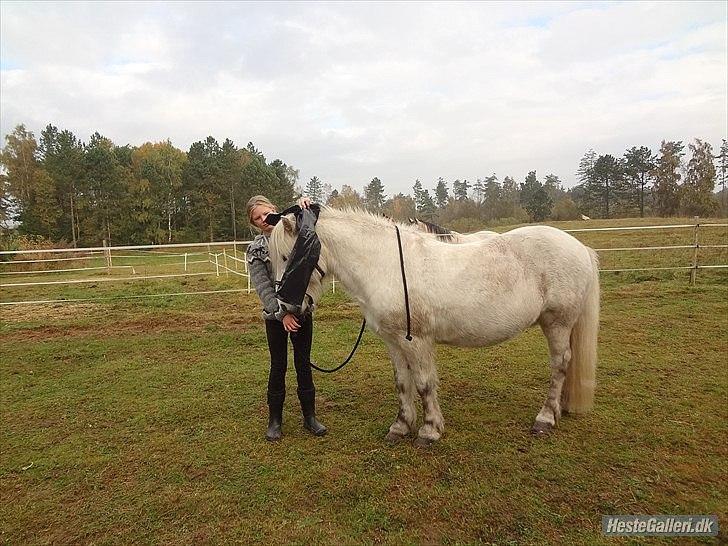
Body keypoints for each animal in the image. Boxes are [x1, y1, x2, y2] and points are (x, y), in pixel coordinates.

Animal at [270, 206, 600, 444]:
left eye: (290, 257)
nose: (284, 309)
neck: (386, 263)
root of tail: (580, 247)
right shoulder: (393, 341)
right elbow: (402, 383)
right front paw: (401, 427)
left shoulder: (417, 341)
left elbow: (424, 383)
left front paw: (429, 431)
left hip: (557, 323)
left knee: (560, 364)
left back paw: (545, 417)